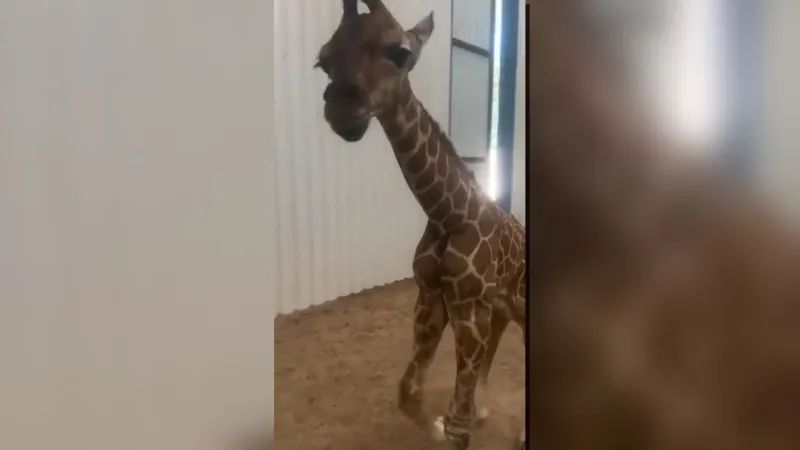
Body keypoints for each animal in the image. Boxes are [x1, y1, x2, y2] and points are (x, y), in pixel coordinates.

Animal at [315, 1, 526, 448]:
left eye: (399, 52)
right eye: (323, 61)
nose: (341, 111)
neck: (450, 214)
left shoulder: (469, 309)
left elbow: (458, 427)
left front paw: (453, 423)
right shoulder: (431, 299)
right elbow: (409, 393)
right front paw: (438, 425)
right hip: (501, 307)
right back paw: (486, 409)